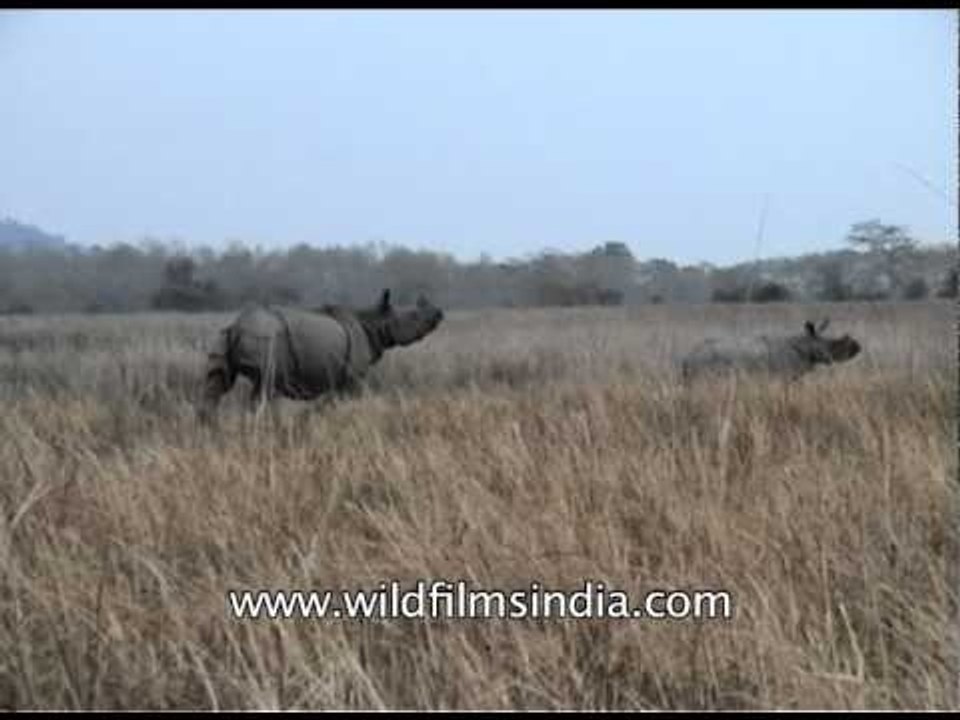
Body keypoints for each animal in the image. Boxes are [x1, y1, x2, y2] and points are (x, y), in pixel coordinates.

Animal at [199, 289, 444, 420]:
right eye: (413, 316)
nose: (439, 314)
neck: (373, 321)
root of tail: (236, 327)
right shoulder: (352, 377)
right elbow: (340, 401)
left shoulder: (339, 378)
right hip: (266, 336)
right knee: (264, 390)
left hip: (222, 337)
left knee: (217, 383)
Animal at [681, 319, 862, 383]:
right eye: (831, 345)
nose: (857, 347)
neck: (805, 342)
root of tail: (688, 356)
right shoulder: (784, 377)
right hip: (705, 363)